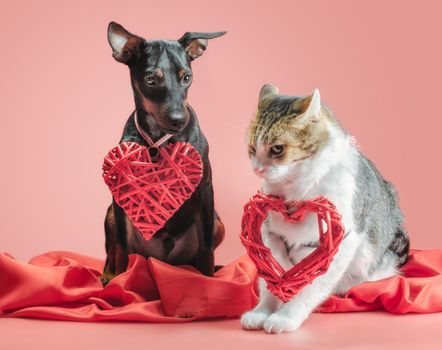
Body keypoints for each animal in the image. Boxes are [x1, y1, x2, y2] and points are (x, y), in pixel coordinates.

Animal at [101, 21, 226, 284]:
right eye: (150, 79)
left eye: (187, 77)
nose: (178, 120)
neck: (158, 142)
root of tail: (163, 261)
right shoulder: (121, 196)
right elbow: (122, 249)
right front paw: (122, 280)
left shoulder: (205, 190)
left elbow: (206, 249)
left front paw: (208, 283)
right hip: (111, 215)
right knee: (112, 250)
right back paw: (108, 275)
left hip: (218, 224)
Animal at [242, 84, 410, 334]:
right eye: (253, 148)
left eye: (277, 149)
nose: (257, 168)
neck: (296, 190)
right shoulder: (268, 232)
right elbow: (271, 277)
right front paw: (262, 311)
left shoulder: (339, 242)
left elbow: (310, 286)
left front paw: (285, 317)